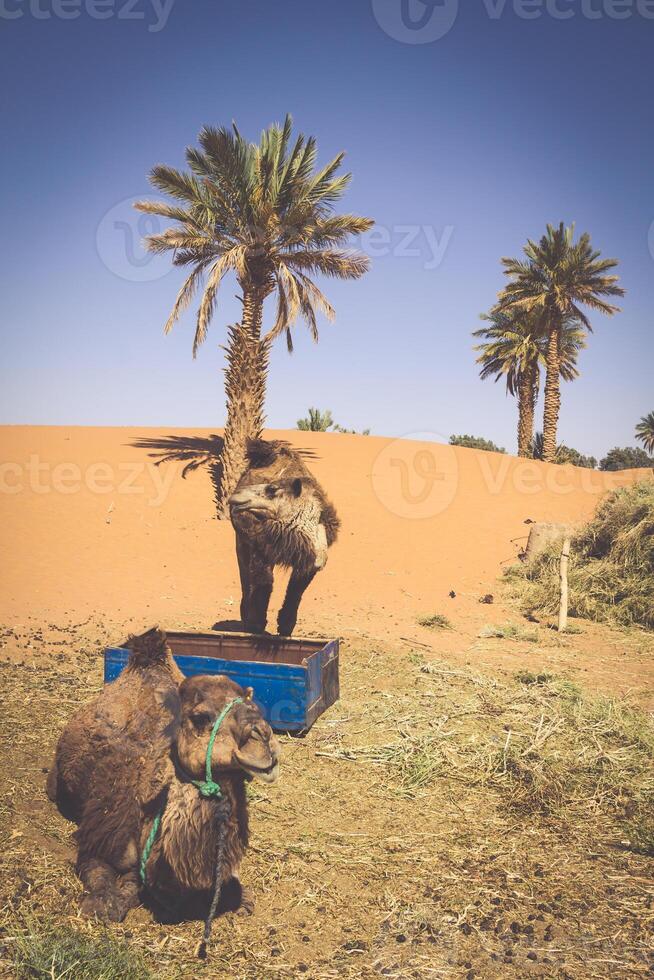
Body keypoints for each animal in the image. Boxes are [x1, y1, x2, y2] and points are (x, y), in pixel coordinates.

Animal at [45, 628, 282, 940]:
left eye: (254, 707)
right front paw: (103, 904)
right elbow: (104, 876)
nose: (263, 742)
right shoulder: (99, 839)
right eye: (200, 717)